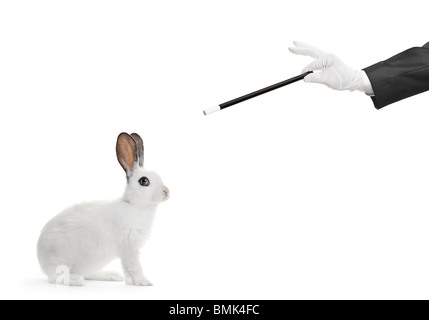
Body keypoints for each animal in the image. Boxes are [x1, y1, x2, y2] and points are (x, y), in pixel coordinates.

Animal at [37, 131, 169, 286]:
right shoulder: (129, 248)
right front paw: (144, 282)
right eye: (144, 181)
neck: (134, 205)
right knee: (55, 277)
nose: (166, 191)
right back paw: (75, 280)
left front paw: (130, 282)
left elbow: (127, 269)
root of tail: (41, 257)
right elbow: (134, 267)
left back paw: (111, 275)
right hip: (60, 258)